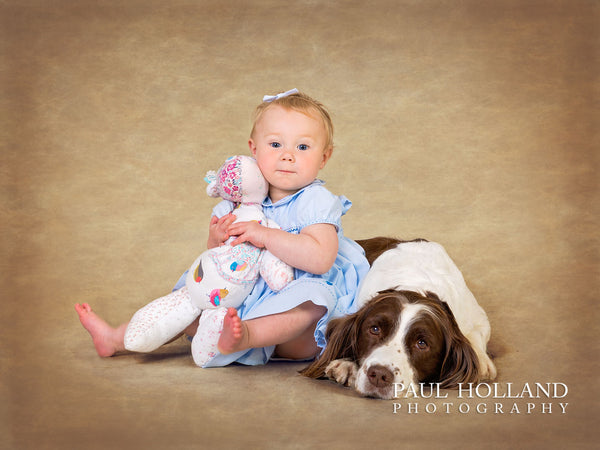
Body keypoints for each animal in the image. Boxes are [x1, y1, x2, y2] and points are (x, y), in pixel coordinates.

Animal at [300, 237, 496, 400]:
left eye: (422, 343)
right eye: (375, 329)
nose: (379, 375)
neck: (416, 283)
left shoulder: (476, 316)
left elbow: (476, 335)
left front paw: (482, 362)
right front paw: (346, 364)